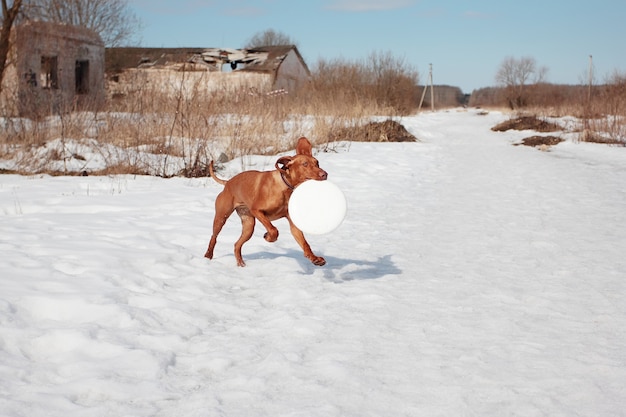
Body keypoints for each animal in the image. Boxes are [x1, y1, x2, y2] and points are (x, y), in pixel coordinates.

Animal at [206, 136, 332, 266]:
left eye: (317, 163)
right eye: (305, 164)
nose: (325, 174)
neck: (285, 187)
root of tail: (228, 183)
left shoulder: (293, 225)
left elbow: (305, 243)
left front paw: (314, 258)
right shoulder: (257, 210)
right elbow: (273, 229)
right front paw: (269, 237)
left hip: (249, 226)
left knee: (237, 244)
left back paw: (240, 263)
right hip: (221, 218)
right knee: (214, 237)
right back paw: (208, 256)